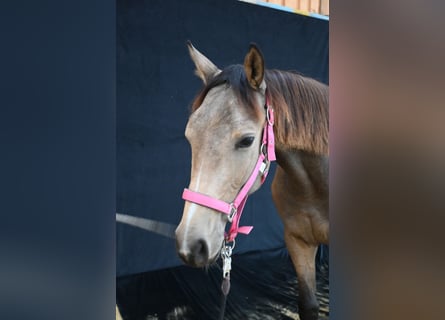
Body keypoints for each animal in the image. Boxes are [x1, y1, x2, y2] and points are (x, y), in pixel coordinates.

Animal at [175, 42, 328, 320]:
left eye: (246, 140)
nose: (190, 244)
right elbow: (308, 305)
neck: (316, 185)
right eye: (189, 135)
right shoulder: (298, 243)